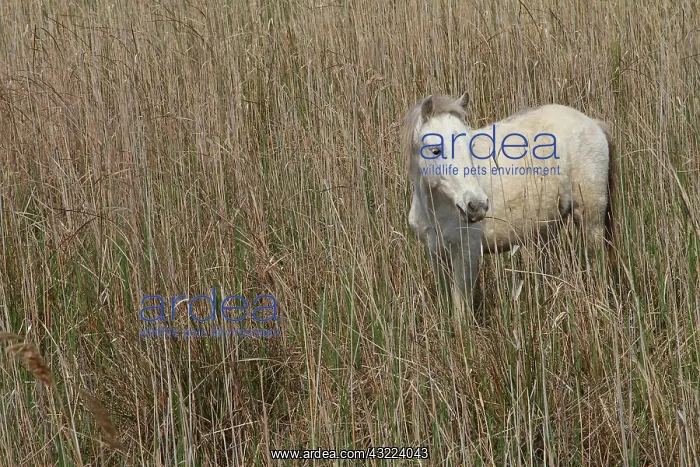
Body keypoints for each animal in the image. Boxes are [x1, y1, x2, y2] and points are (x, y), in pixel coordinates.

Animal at [403, 91, 615, 316]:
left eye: (470, 146)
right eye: (435, 150)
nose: (477, 205)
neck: (437, 207)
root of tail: (593, 123)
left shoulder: (467, 252)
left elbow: (461, 308)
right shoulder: (436, 253)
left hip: (590, 221)